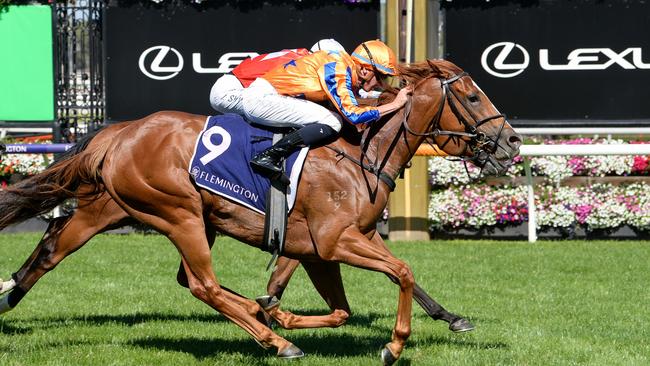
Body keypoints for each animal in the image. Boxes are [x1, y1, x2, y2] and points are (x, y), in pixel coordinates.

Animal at [0, 60, 520, 364]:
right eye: (471, 96)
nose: (512, 142)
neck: (360, 152)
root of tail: (120, 132)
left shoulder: (330, 246)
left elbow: (346, 308)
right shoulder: (335, 241)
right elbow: (404, 272)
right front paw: (392, 345)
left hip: (131, 211)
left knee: (59, 243)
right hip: (178, 213)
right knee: (203, 285)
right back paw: (277, 342)